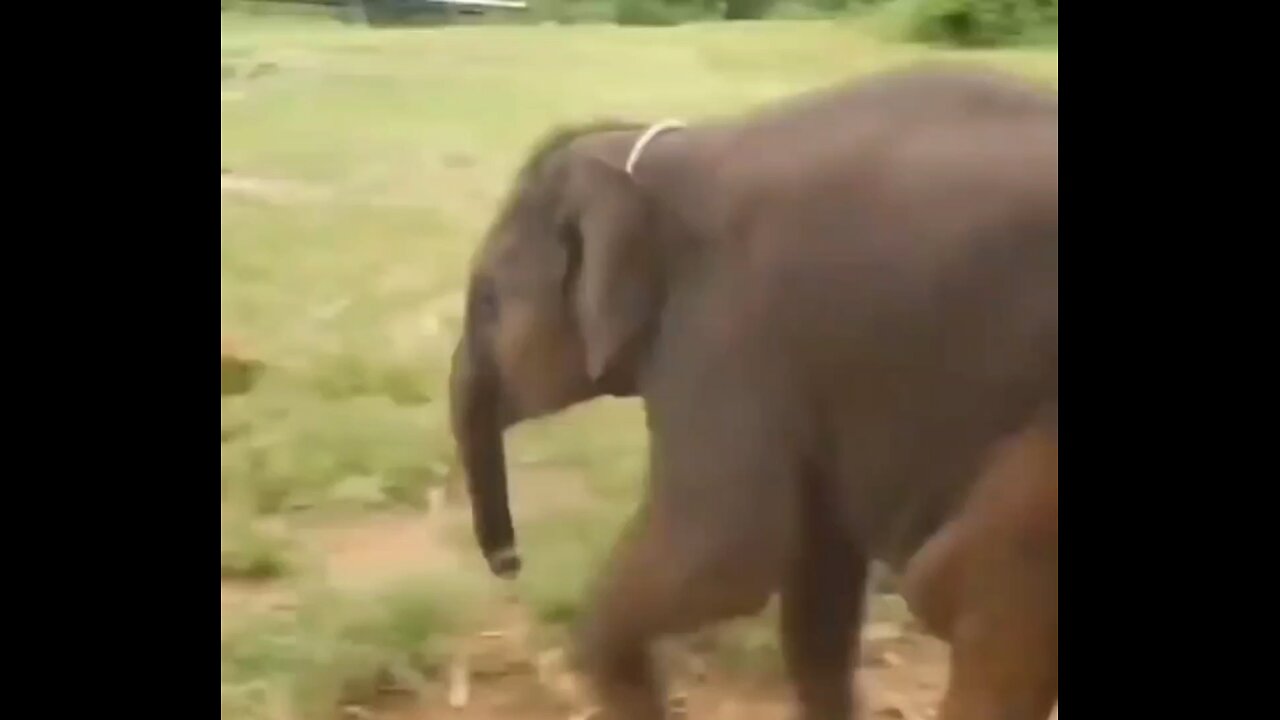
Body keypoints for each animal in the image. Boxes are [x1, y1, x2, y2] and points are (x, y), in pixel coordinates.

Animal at [448, 63, 1058, 720]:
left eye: (487, 301)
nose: (510, 564)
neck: (660, 156)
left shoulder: (728, 330)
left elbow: (720, 553)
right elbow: (817, 575)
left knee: (979, 581)